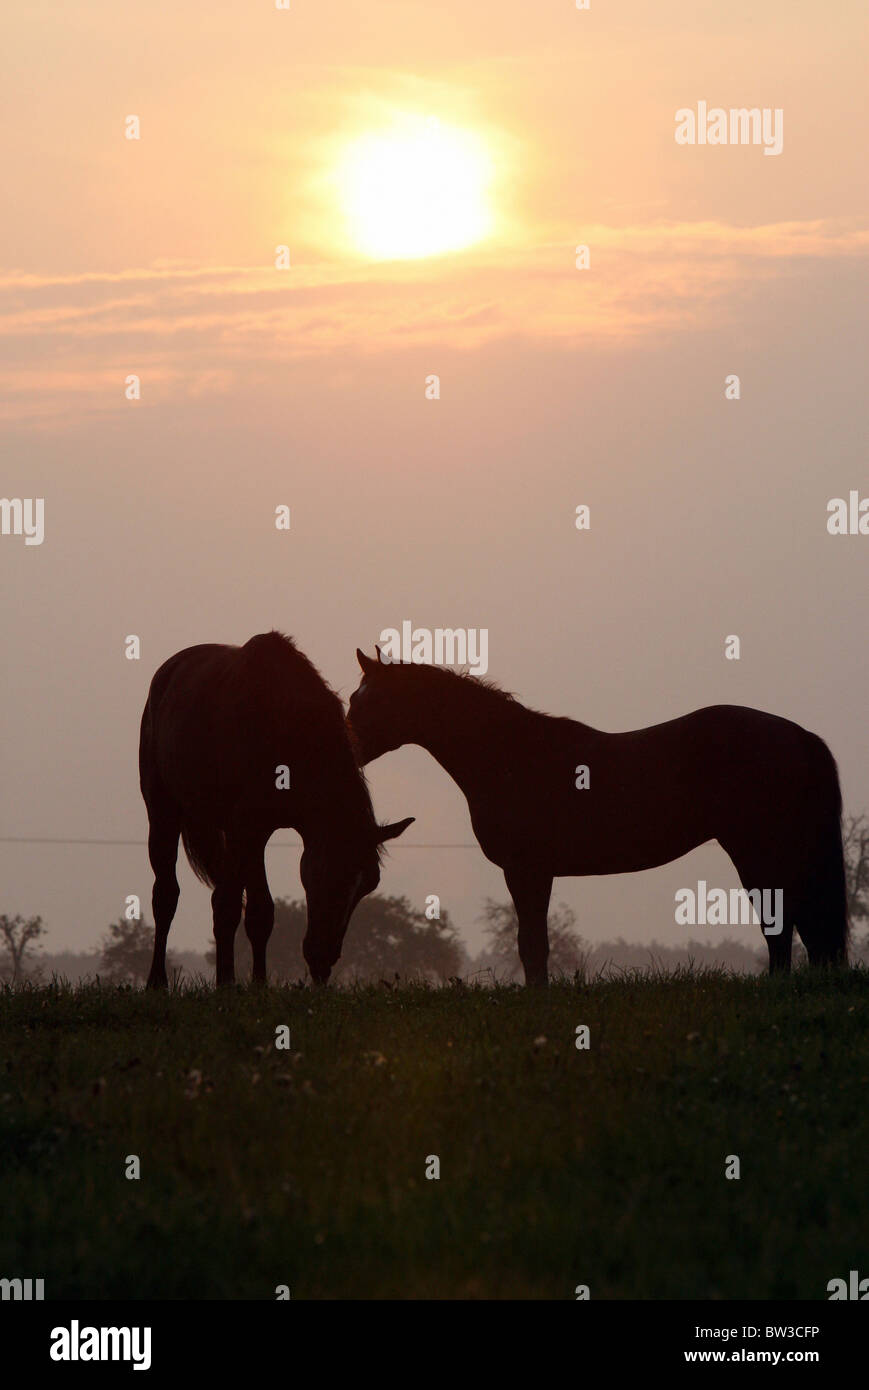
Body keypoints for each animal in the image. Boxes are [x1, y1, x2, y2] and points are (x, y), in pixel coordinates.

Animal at [138, 636, 414, 984]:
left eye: (368, 884)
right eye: (330, 872)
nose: (323, 959)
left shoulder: (256, 831)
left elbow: (260, 913)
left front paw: (259, 984)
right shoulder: (247, 827)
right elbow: (227, 906)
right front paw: (226, 983)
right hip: (162, 812)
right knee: (165, 895)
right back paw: (156, 981)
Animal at [347, 644, 845, 984]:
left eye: (370, 702)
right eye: (355, 699)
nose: (346, 751)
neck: (511, 755)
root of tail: (797, 735)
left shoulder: (526, 870)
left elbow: (532, 944)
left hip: (756, 848)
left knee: (780, 921)